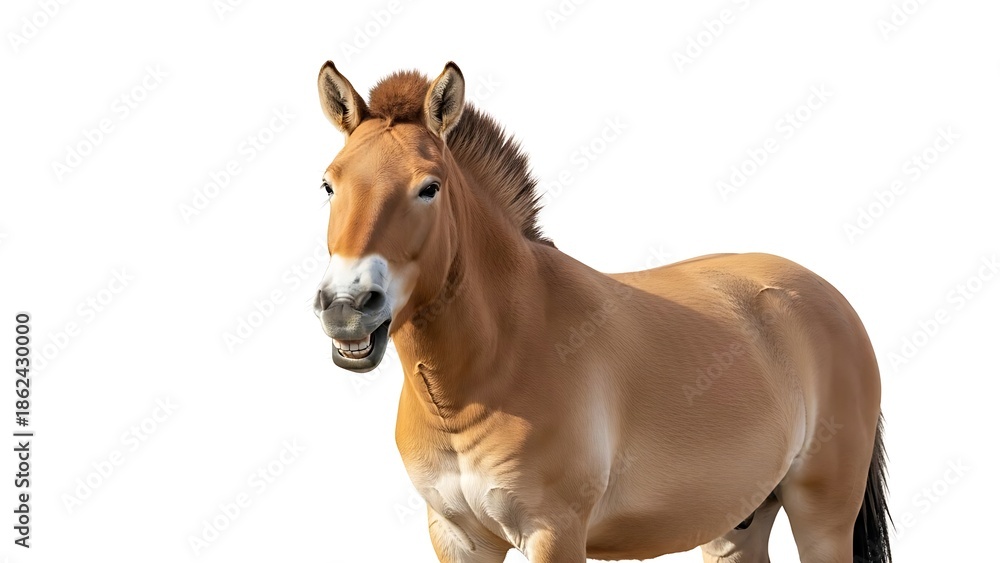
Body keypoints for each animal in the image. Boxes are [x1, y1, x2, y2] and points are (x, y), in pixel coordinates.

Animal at [312, 60, 891, 563]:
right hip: (737, 523)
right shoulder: (457, 538)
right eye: (329, 184)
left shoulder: (554, 533)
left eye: (429, 187)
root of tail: (828, 296)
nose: (346, 307)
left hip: (821, 517)